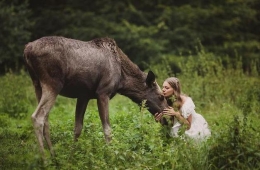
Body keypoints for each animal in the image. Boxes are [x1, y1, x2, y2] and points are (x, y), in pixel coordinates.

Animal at [24, 36, 169, 157]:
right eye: (161, 96)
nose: (167, 119)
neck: (123, 81)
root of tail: (27, 50)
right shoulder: (103, 92)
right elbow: (107, 129)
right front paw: (111, 155)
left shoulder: (83, 95)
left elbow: (77, 128)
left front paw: (72, 155)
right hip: (53, 84)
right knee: (37, 117)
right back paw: (45, 159)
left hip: (37, 85)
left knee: (46, 120)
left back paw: (54, 156)